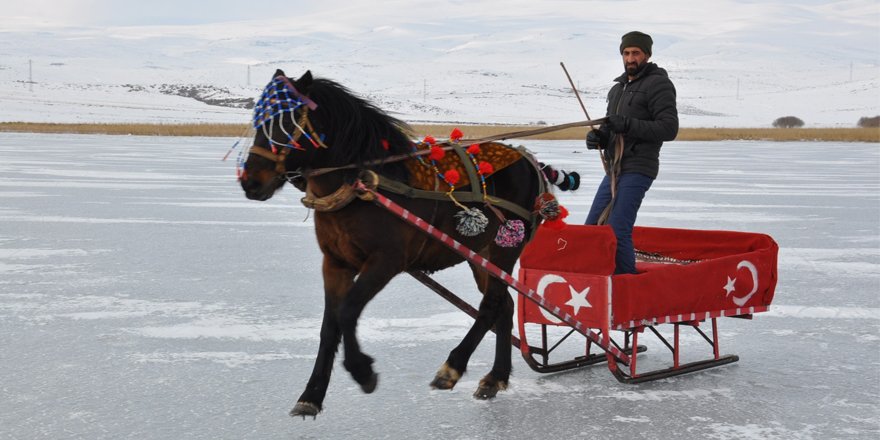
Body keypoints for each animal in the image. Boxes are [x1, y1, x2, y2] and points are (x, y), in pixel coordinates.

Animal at [241, 70, 556, 418]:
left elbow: (347, 311)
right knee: (504, 305)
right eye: (258, 119)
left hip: (505, 247)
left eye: (287, 121)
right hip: (480, 253)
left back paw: (452, 368)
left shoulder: (386, 261)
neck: (364, 184)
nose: (250, 181)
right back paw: (495, 377)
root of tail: (530, 161)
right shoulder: (335, 263)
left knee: (490, 305)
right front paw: (311, 394)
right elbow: (329, 327)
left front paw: (363, 371)